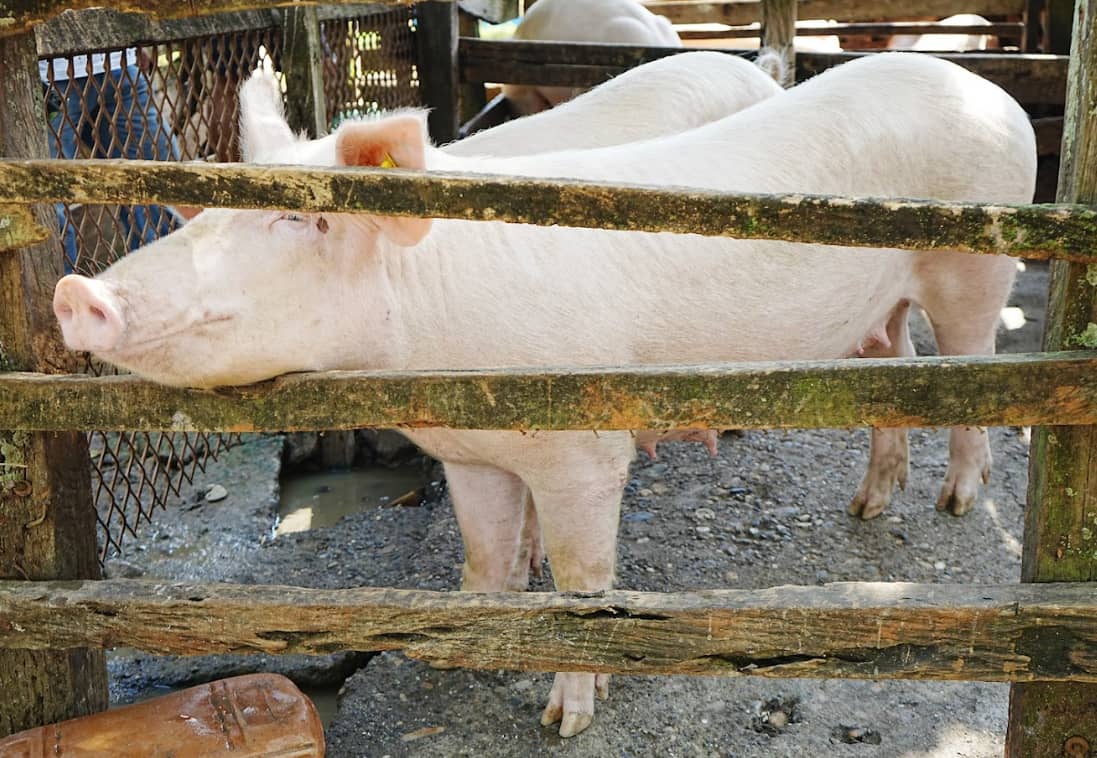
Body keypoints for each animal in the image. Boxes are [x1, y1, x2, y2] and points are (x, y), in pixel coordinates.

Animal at [53, 53, 1037, 736]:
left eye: (302, 216)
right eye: (211, 211)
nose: (74, 291)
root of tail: (976, 84)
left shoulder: (584, 450)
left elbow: (582, 579)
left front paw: (564, 719)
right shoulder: (471, 456)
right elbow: (484, 563)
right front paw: (466, 666)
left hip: (975, 269)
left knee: (974, 374)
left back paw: (955, 504)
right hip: (880, 306)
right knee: (889, 363)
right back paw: (869, 507)